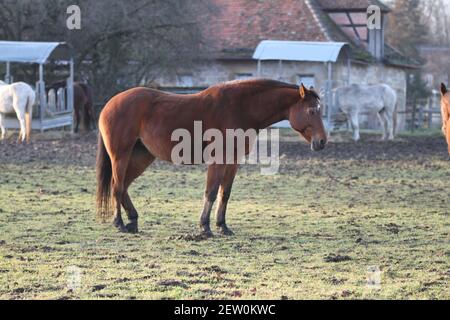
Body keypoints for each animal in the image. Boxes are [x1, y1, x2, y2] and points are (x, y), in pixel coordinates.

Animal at [96, 79, 326, 235]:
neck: (241, 108)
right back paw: (119, 223)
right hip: (121, 155)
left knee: (124, 186)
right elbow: (212, 192)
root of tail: (110, 104)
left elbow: (225, 193)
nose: (322, 141)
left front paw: (222, 226)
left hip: (141, 157)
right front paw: (205, 227)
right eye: (311, 111)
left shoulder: (233, 161)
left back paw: (133, 221)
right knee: (117, 186)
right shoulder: (218, 160)